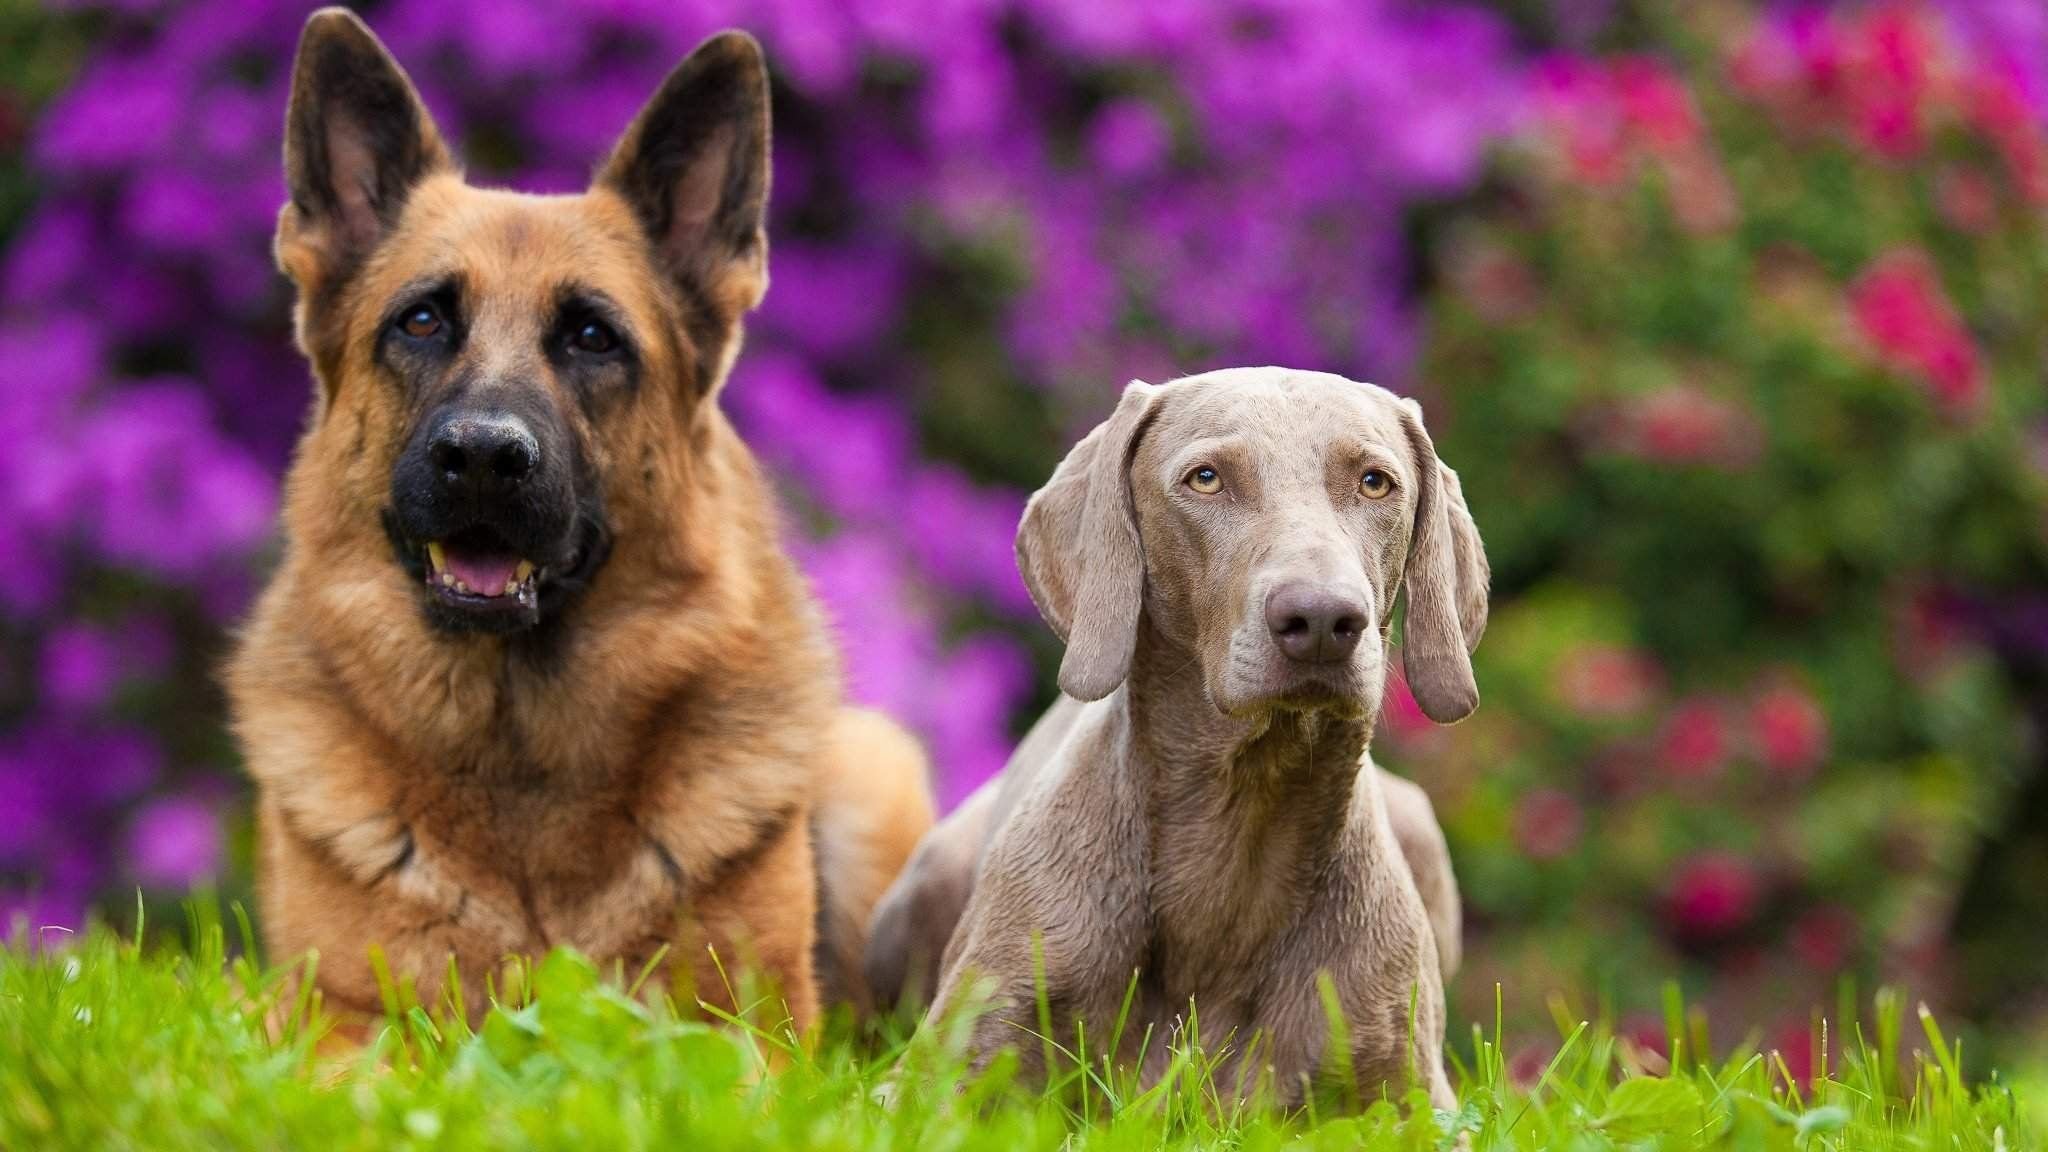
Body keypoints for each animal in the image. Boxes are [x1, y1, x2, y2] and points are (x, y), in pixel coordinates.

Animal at [228, 8, 933, 1024]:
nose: (483, 457)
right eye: (421, 322)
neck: (517, 754)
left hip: (879, 771)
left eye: (593, 337)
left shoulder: (744, 1028)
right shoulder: (337, 1013)